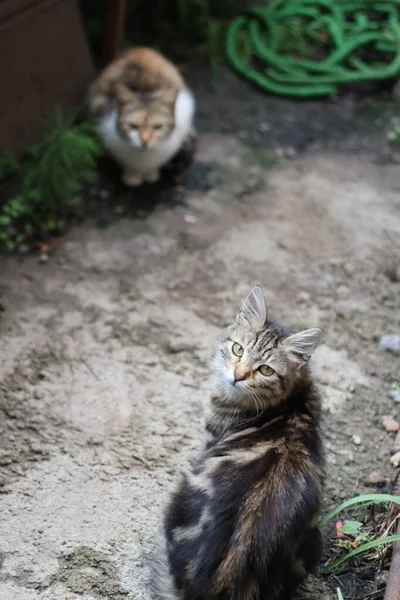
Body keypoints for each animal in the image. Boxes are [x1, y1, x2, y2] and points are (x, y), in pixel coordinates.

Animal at [88, 47, 195, 185]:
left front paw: (151, 173)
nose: (145, 141)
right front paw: (132, 176)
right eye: (133, 126)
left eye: (158, 127)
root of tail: (139, 48)